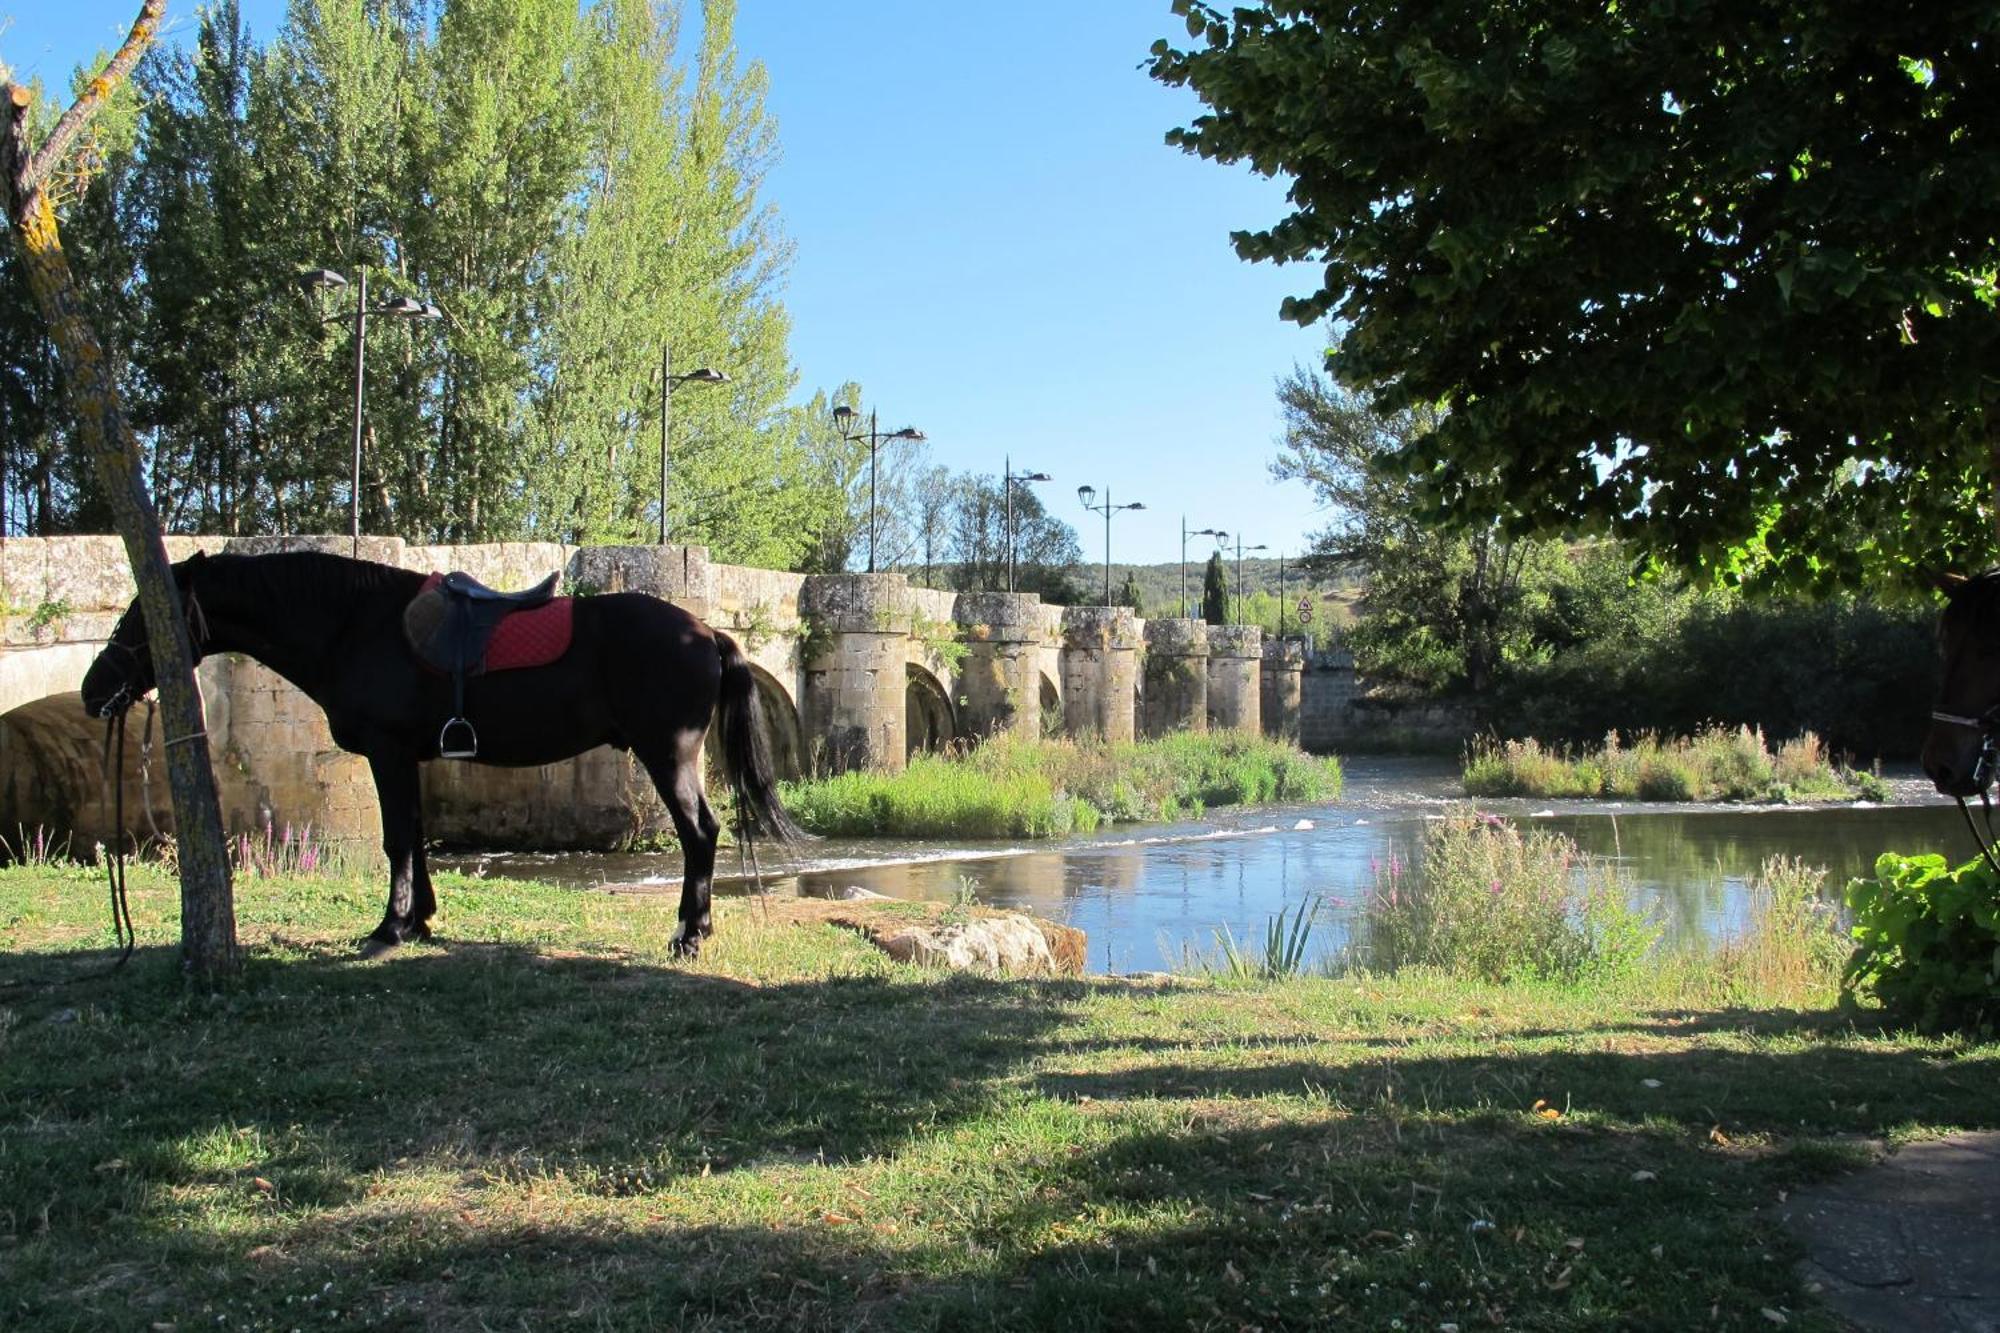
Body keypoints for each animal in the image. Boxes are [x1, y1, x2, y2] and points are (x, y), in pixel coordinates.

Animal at [80, 548, 796, 956]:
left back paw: (690, 934)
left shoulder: (386, 752)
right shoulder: (408, 758)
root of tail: (705, 631)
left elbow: (397, 838)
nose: (92, 690)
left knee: (699, 834)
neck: (352, 623)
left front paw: (390, 929)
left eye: (141, 615)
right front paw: (419, 920)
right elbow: (415, 835)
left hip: (667, 754)